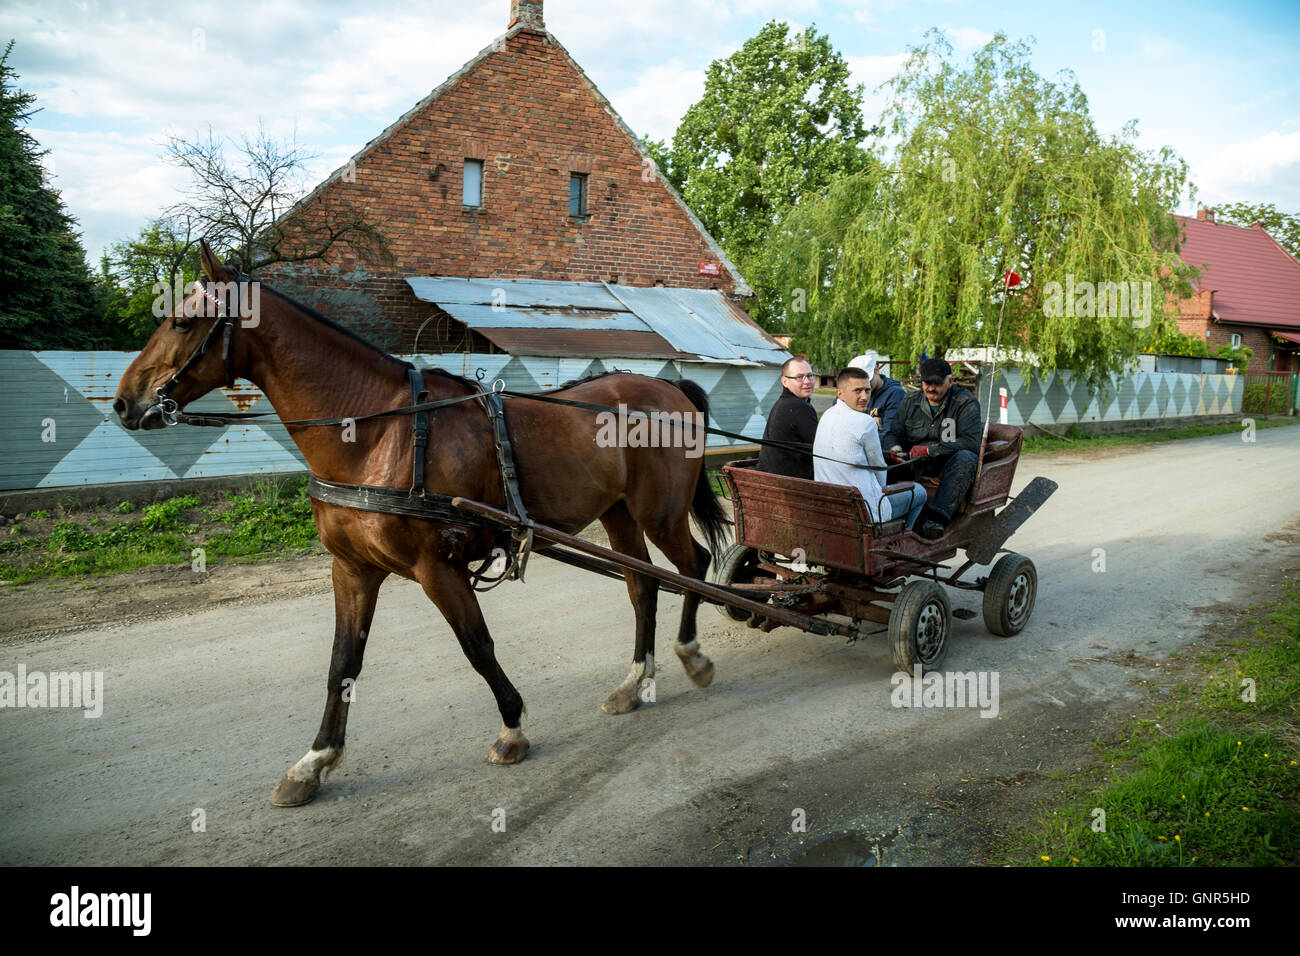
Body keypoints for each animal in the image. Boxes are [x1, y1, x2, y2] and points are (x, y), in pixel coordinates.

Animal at [114, 244, 733, 806]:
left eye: (183, 320)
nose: (123, 403)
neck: (377, 434)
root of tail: (670, 387)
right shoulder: (353, 570)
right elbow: (343, 662)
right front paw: (315, 760)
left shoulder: (439, 567)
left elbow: (477, 646)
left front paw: (512, 728)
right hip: (619, 514)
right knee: (643, 584)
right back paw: (634, 682)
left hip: (658, 513)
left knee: (693, 568)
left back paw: (692, 655)